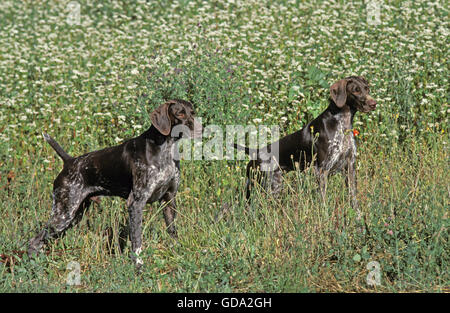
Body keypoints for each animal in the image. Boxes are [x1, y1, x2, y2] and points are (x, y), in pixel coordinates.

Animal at [27, 98, 202, 266]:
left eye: (192, 112)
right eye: (180, 114)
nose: (201, 129)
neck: (165, 149)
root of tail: (69, 161)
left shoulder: (169, 199)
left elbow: (172, 231)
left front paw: (177, 254)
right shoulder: (136, 203)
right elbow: (137, 240)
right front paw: (138, 265)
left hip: (74, 214)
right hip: (64, 213)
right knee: (34, 241)